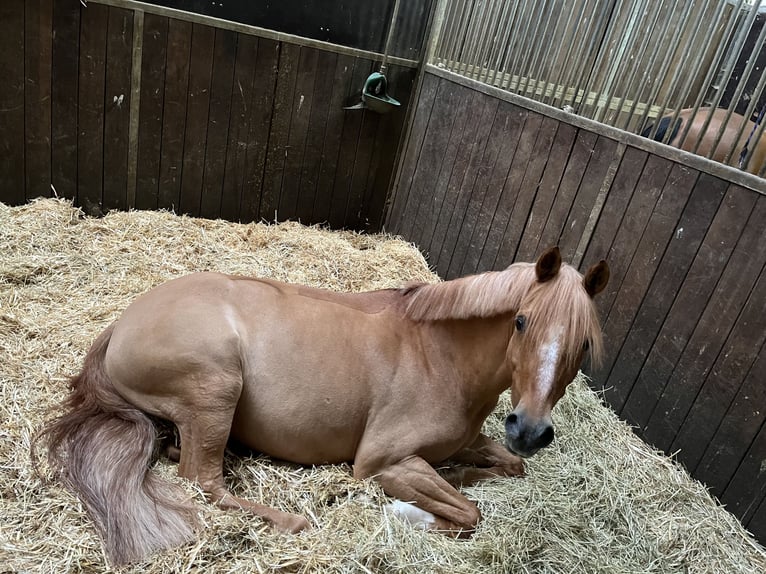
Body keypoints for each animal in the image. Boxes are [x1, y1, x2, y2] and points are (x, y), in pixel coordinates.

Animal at [34, 246, 609, 565]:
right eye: (521, 322)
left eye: (583, 343)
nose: (530, 430)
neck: (439, 356)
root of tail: (120, 326)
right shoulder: (381, 462)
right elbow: (468, 514)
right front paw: (406, 513)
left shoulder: (470, 444)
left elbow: (507, 469)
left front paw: (466, 476)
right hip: (216, 389)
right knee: (203, 480)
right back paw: (291, 521)